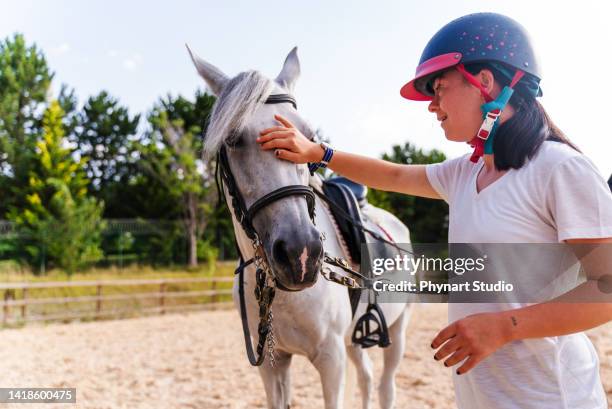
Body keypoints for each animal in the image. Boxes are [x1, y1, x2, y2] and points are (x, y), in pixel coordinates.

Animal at [188, 45, 416, 408]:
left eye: (308, 138)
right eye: (233, 139)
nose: (300, 254)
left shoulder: (331, 359)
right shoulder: (272, 363)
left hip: (397, 328)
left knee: (385, 386)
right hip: (354, 341)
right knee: (367, 379)